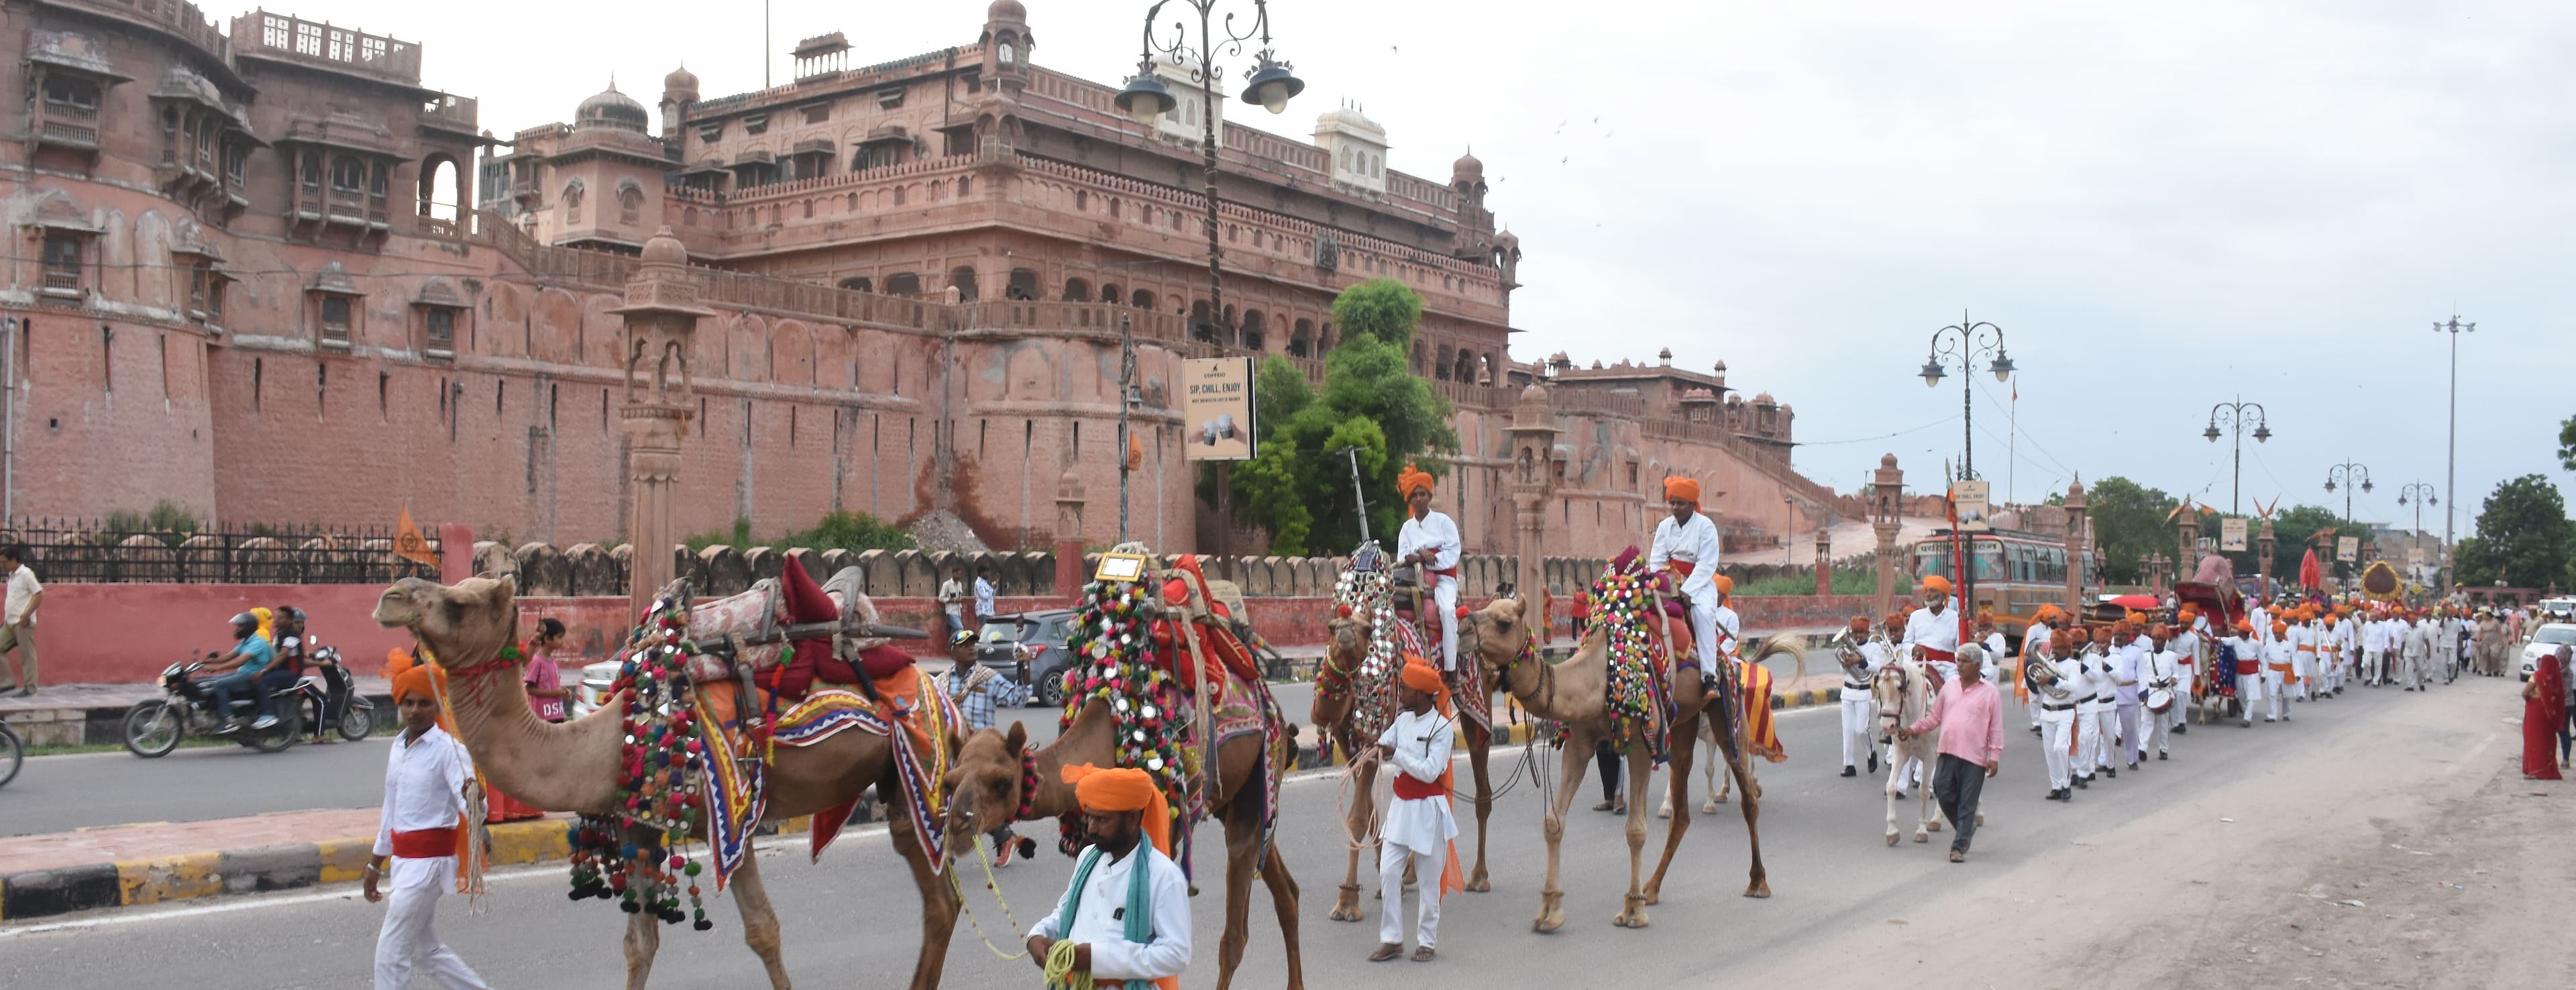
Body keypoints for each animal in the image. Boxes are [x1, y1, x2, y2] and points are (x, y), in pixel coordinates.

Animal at [378, 564, 973, 990]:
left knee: (940, 897)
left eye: (459, 602)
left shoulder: (731, 815)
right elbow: (639, 944)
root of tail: (941, 691)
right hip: (897, 780)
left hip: (919, 766)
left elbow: (764, 931)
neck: (610, 741)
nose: (392, 595)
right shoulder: (639, 829)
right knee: (938, 898)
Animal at [937, 551, 1308, 990]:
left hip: (1259, 773)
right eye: (950, 781)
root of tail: (1267, 698)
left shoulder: (1166, 821)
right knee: (1287, 893)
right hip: (1231, 798)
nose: (957, 830)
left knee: (1236, 930)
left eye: (1003, 781)